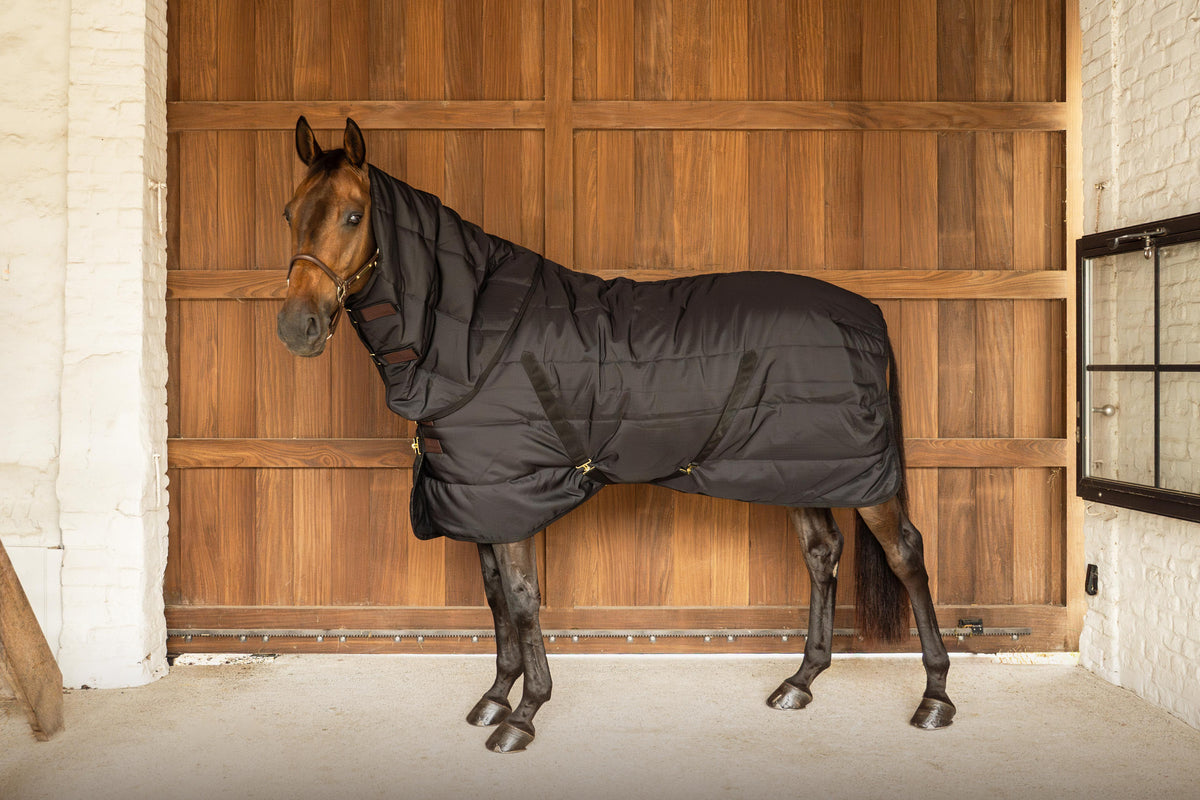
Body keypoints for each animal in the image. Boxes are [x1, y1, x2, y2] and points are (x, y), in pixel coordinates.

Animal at [275, 116, 954, 753]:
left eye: (353, 215)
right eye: (288, 213)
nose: (296, 326)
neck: (471, 335)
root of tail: (867, 311)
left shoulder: (510, 497)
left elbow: (521, 598)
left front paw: (524, 714)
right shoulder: (478, 498)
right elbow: (494, 598)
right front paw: (496, 696)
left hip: (861, 478)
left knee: (906, 553)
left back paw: (935, 697)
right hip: (799, 470)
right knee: (821, 553)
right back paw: (800, 682)